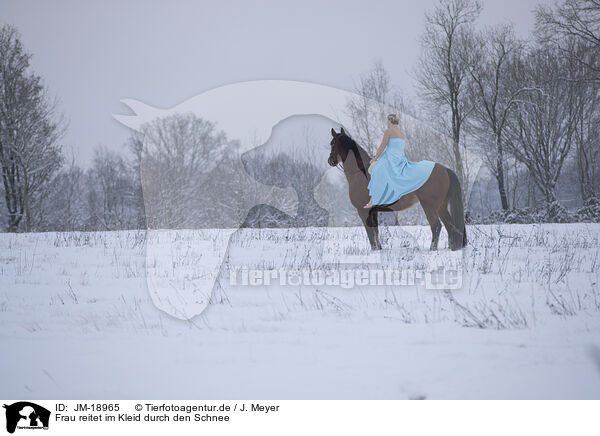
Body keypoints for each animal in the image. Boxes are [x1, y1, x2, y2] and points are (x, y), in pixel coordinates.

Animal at [326, 129, 466, 250]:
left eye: (332, 143)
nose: (330, 160)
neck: (360, 172)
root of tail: (444, 169)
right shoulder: (373, 211)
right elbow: (376, 231)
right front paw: (379, 249)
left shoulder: (363, 211)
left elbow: (370, 233)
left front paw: (373, 250)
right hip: (441, 206)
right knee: (450, 226)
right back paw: (453, 247)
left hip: (429, 206)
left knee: (436, 226)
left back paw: (433, 249)